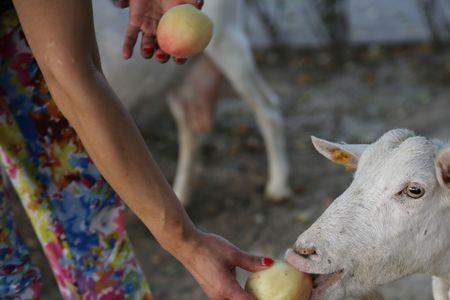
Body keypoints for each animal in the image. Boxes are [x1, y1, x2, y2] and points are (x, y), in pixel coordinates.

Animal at [95, 0, 292, 205]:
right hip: (176, 80)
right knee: (190, 134)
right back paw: (181, 194)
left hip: (229, 46)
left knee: (268, 109)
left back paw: (278, 185)